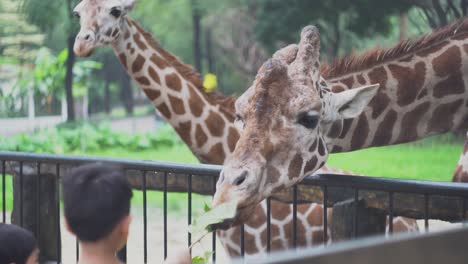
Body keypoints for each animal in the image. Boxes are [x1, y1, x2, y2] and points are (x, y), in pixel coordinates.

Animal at [72, 0, 416, 256]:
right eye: (78, 12)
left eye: (115, 11)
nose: (80, 44)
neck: (218, 146)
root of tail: (410, 223)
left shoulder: (259, 248)